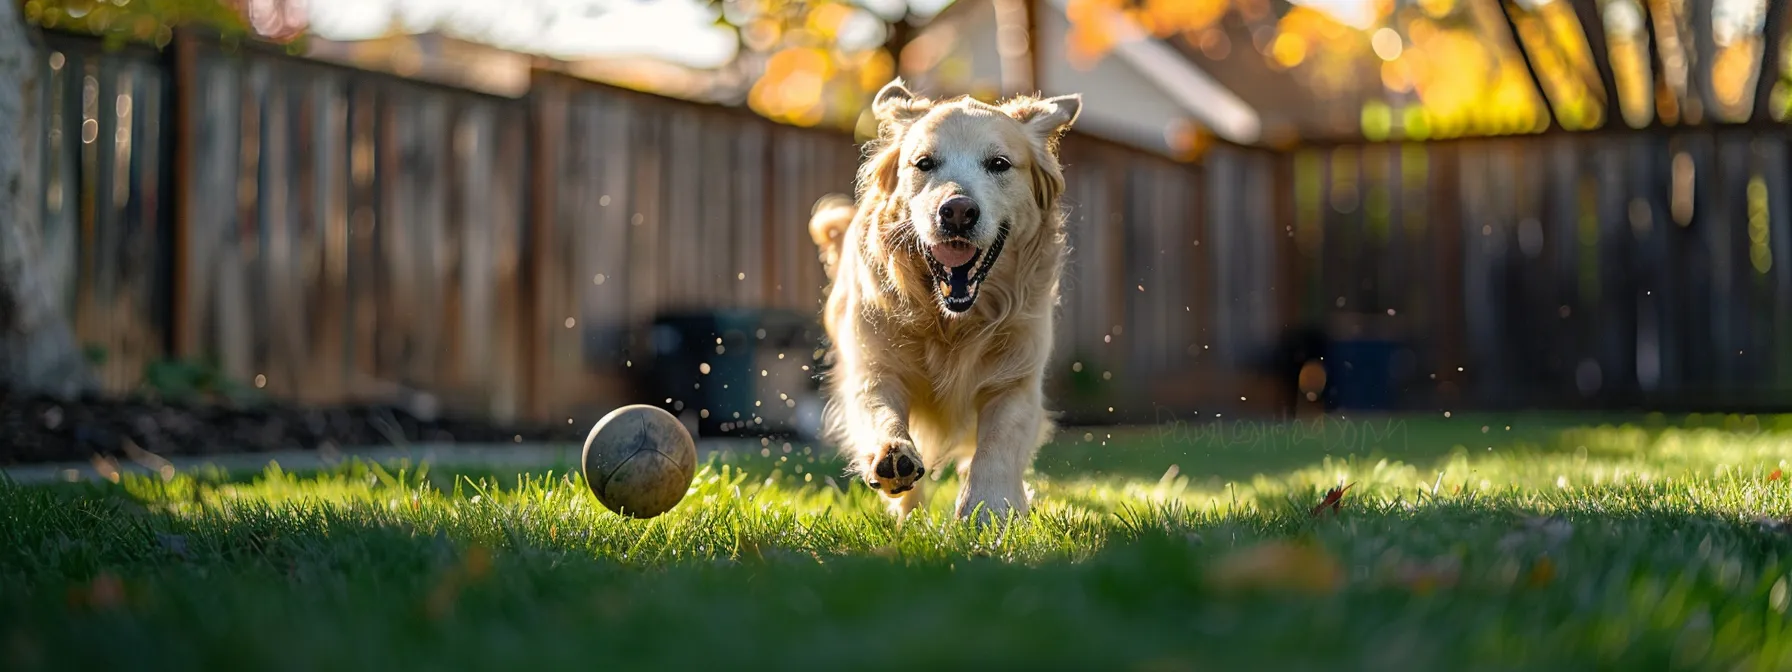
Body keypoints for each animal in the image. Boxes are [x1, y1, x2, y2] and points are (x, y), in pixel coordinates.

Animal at [809, 78, 1075, 526]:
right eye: (924, 163)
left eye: (999, 164)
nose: (957, 211)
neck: (951, 320)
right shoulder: (872, 367)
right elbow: (879, 410)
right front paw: (893, 454)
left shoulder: (1016, 378)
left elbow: (998, 444)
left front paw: (988, 507)